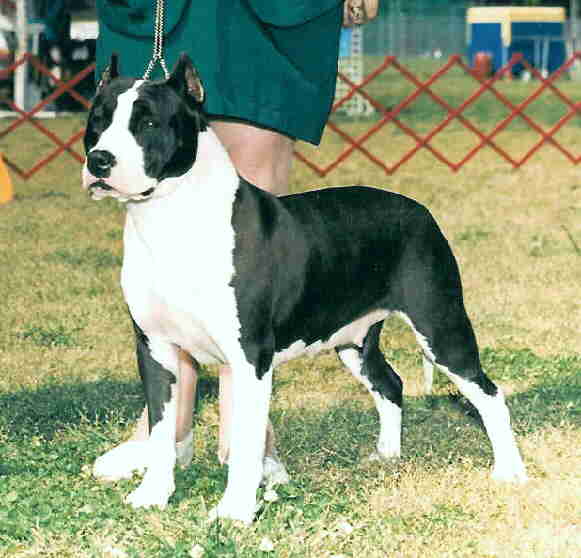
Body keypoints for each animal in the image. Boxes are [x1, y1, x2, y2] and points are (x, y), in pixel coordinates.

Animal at [82, 54, 527, 523]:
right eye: (97, 120)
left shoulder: (249, 358)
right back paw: (387, 455)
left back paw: (509, 471)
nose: (100, 161)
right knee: (390, 383)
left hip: (440, 327)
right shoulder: (156, 350)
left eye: (148, 123)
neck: (171, 220)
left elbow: (245, 444)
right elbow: (161, 432)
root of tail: (420, 210)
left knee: (489, 394)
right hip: (354, 339)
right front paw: (153, 495)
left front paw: (234, 512)